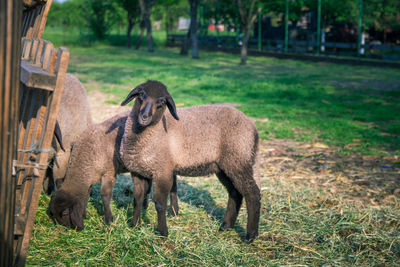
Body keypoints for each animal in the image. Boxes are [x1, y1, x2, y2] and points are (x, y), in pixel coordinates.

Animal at [48, 112, 178, 231]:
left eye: (65, 213)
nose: (66, 229)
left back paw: (174, 210)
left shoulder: (109, 173)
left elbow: (105, 195)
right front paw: (84, 214)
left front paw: (109, 220)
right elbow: (86, 195)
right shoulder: (90, 178)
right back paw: (146, 206)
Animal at [120, 80, 260, 244]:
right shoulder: (138, 172)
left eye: (162, 101)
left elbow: (160, 204)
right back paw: (226, 226)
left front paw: (163, 232)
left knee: (252, 193)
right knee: (235, 193)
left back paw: (250, 235)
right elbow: (137, 199)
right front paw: (134, 225)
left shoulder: (162, 171)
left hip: (238, 160)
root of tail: (253, 127)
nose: (144, 117)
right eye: (141, 94)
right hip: (224, 166)